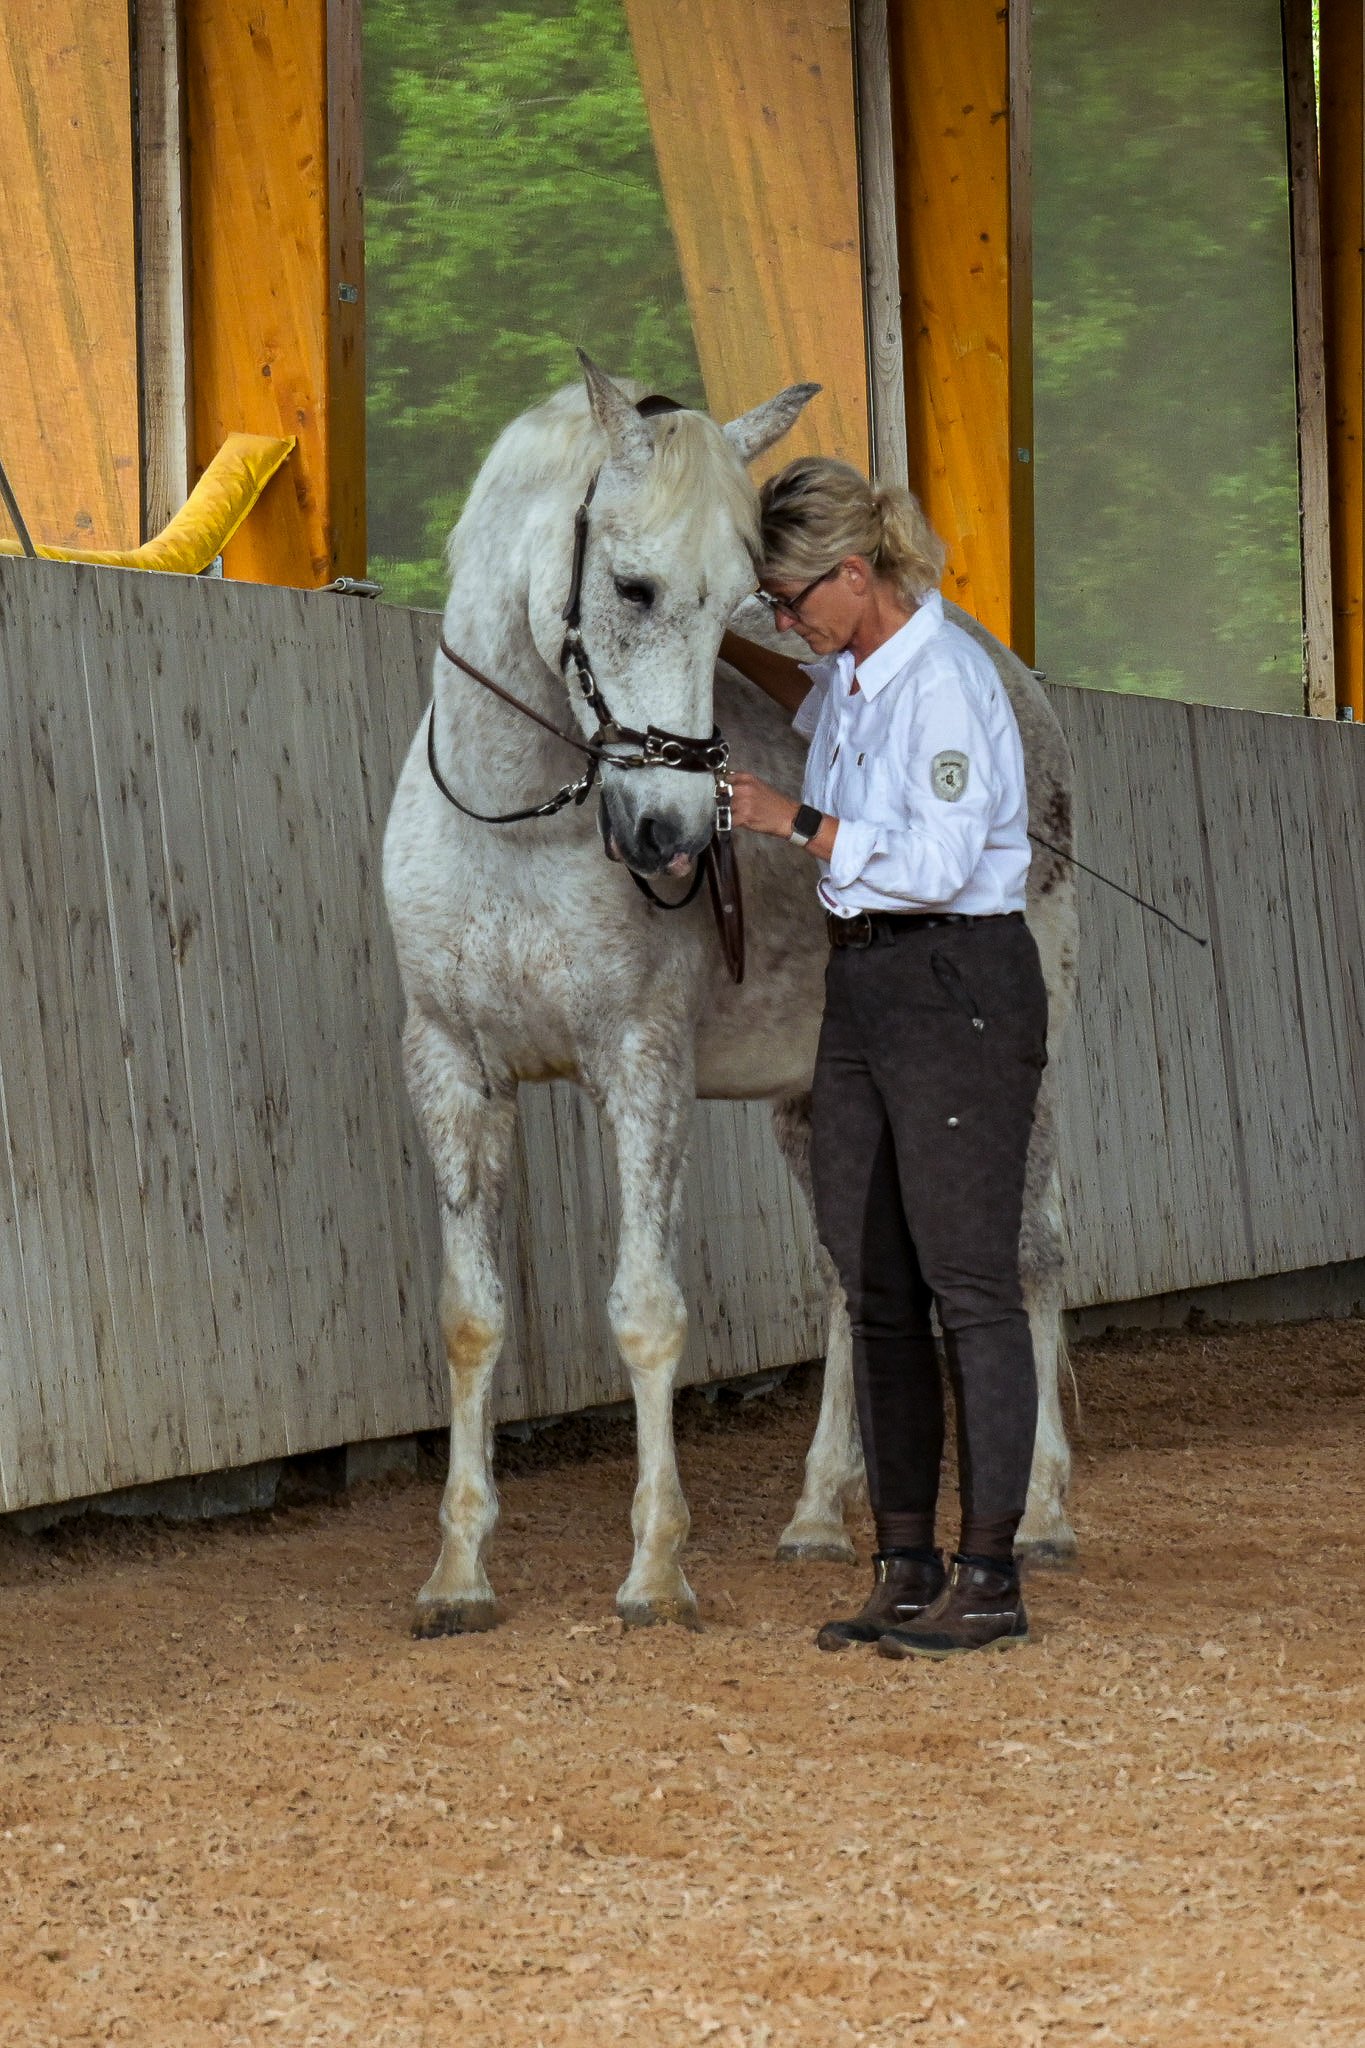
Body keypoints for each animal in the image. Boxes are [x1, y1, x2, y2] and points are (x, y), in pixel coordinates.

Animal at [382, 358, 1079, 1636]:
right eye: (634, 586)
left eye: (732, 605)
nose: (669, 833)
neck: (516, 826)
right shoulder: (452, 1069)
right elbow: (471, 1316)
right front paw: (457, 1573)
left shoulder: (640, 1067)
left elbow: (646, 1310)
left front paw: (657, 1569)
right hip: (818, 1098)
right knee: (853, 1282)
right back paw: (817, 1515)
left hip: (1031, 1069)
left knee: (1034, 1252)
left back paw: (1047, 1512)